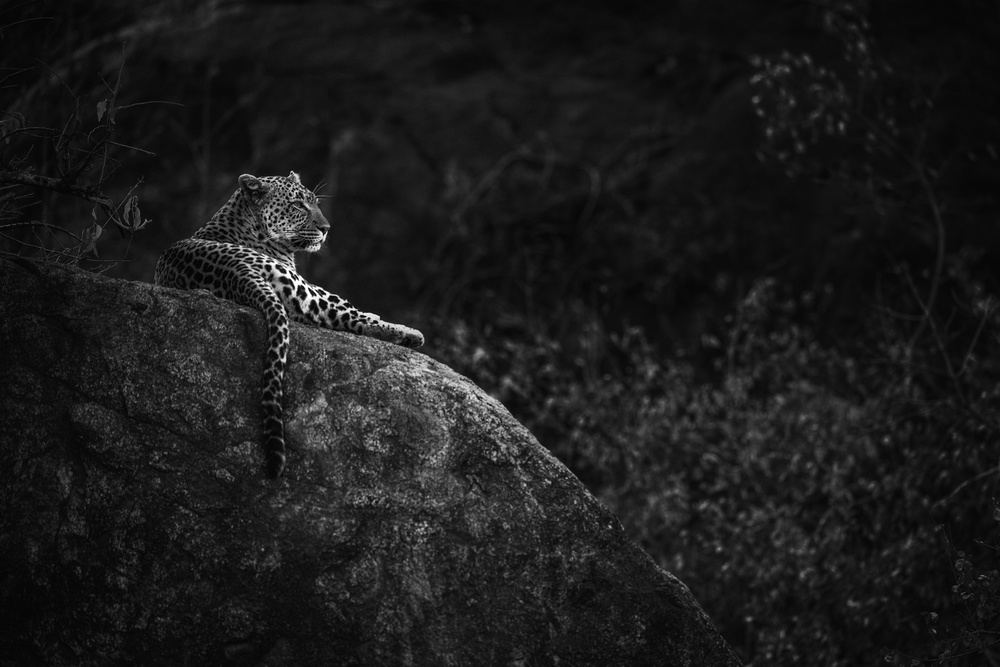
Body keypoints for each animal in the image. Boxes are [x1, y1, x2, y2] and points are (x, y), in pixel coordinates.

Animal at [154, 171, 424, 478]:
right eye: (297, 205)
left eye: (315, 202)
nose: (326, 228)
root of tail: (236, 272)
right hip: (305, 289)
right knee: (348, 316)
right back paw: (409, 333)